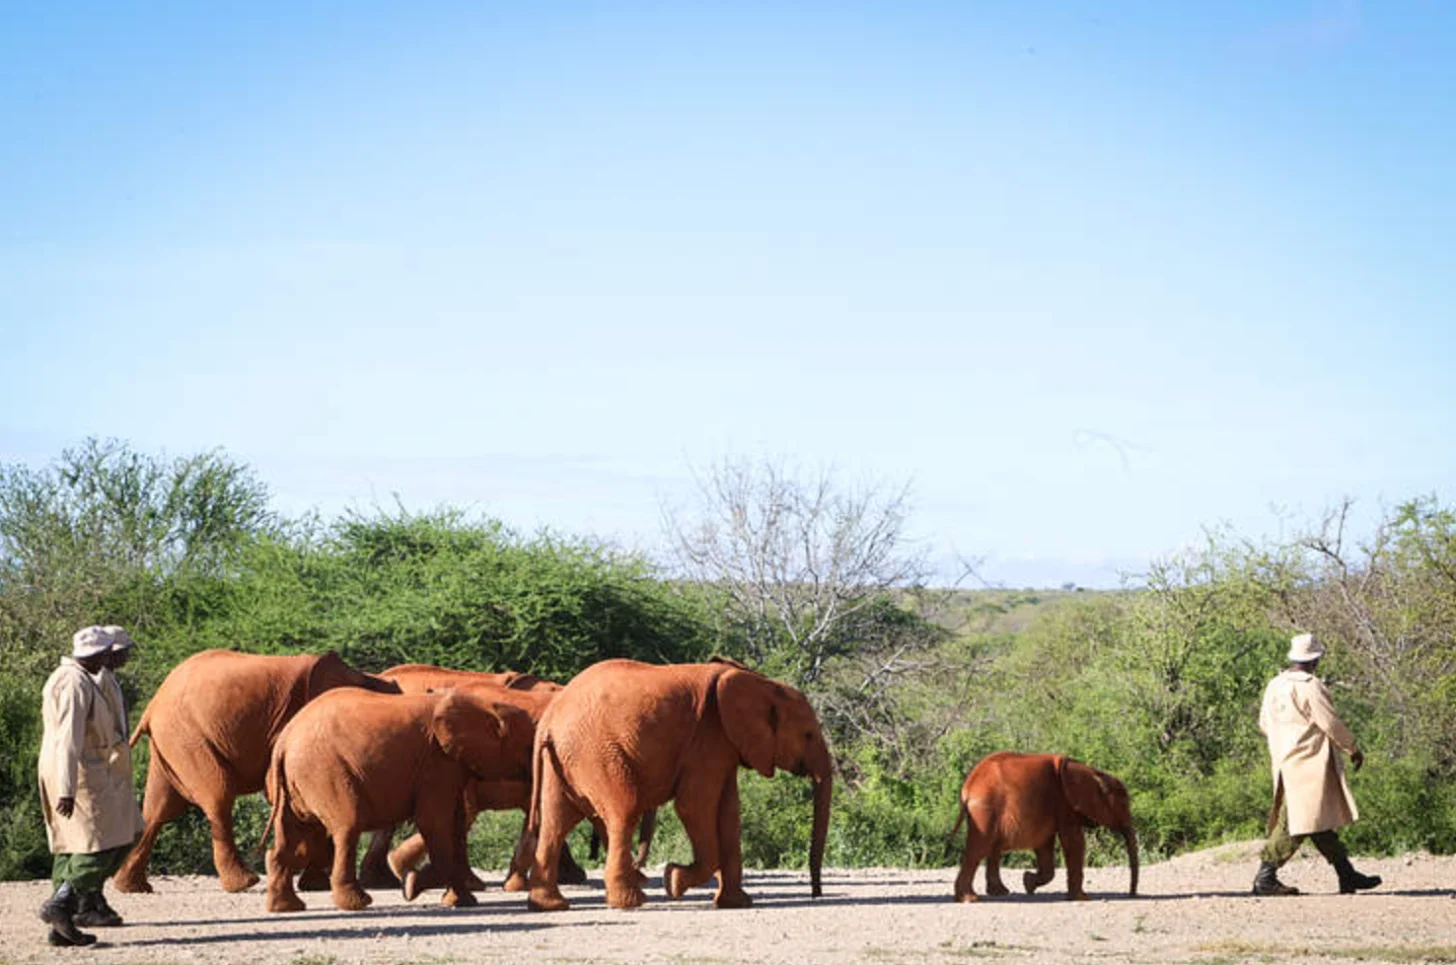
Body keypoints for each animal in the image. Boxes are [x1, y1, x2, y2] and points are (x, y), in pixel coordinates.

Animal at [114, 649, 401, 894]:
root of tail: (153, 705)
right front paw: (311, 878)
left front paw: (313, 882)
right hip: (187, 737)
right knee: (217, 797)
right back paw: (244, 882)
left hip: (171, 742)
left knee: (159, 809)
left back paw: (131, 887)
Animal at [262, 688, 533, 912]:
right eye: (528, 748)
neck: (487, 705)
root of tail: (283, 742)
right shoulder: (436, 763)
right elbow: (435, 823)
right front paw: (410, 886)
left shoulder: (451, 765)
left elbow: (455, 825)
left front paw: (463, 902)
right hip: (325, 772)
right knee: (347, 828)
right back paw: (357, 903)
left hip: (296, 782)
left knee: (289, 834)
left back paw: (286, 907)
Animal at [526, 657, 833, 912]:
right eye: (808, 735)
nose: (816, 893)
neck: (762, 684)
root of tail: (550, 718)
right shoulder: (707, 738)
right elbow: (693, 807)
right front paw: (673, 880)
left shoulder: (723, 744)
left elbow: (729, 813)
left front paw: (737, 903)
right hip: (596, 753)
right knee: (623, 813)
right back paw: (631, 902)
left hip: (563, 759)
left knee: (555, 822)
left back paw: (549, 906)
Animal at [951, 752, 1138, 903]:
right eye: (1123, 804)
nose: (1132, 894)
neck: (1093, 772)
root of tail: (968, 787)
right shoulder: (1065, 804)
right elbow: (1074, 843)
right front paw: (1082, 899)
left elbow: (1045, 847)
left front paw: (1028, 883)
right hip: (985, 811)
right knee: (978, 850)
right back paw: (970, 899)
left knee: (992, 849)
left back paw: (999, 893)